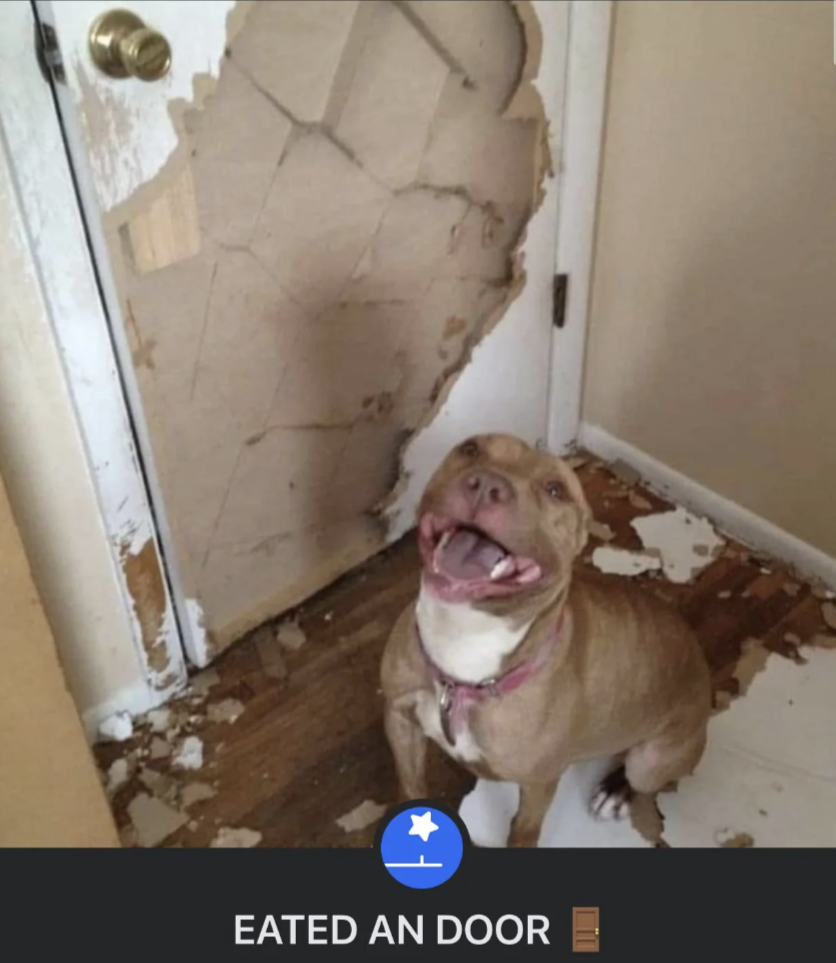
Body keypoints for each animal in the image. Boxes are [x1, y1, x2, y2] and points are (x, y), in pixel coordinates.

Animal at [378, 434, 712, 848]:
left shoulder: (539, 784)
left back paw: (617, 791)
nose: (487, 485)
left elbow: (523, 831)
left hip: (651, 760)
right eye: (471, 449)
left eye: (556, 490)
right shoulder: (398, 718)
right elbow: (410, 785)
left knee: (645, 777)